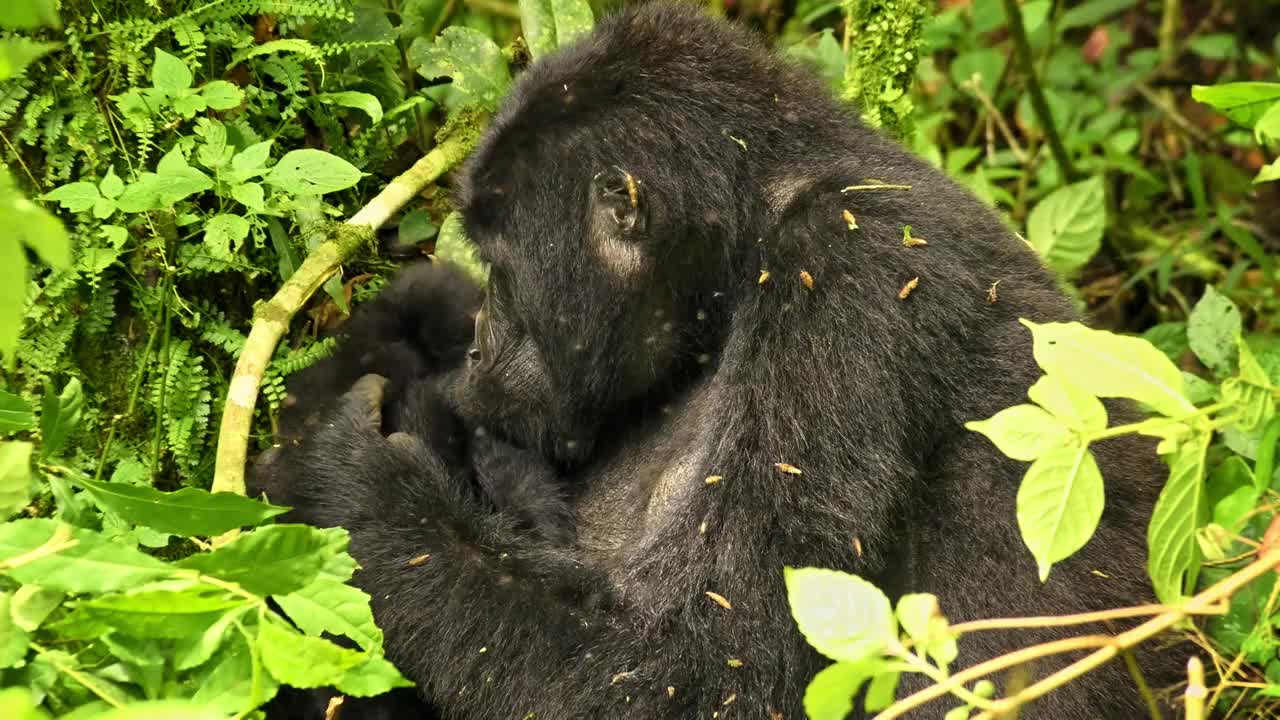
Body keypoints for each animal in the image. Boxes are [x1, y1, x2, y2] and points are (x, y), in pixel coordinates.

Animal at [257, 2, 1177, 712]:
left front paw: (353, 477)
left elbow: (704, 671)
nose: (482, 342)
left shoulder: (852, 278)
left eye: (504, 269)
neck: (744, 241)